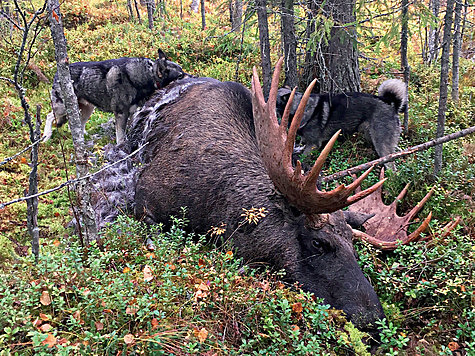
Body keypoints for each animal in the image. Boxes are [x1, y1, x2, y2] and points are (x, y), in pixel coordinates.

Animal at [41, 49, 189, 143]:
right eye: (180, 75)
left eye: (182, 70)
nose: (193, 77)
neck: (146, 75)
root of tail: (57, 73)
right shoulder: (121, 114)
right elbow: (121, 137)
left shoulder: (130, 113)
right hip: (63, 109)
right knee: (49, 116)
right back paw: (46, 136)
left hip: (86, 110)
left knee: (80, 125)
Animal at [278, 79, 408, 170]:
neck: (299, 108)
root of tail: (391, 105)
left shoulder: (313, 144)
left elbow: (303, 158)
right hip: (372, 138)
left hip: (381, 144)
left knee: (392, 167)